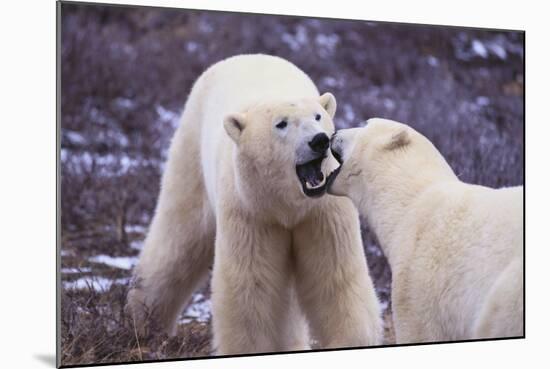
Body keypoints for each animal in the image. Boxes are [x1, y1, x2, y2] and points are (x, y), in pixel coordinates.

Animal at [127, 54, 384, 354]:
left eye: (318, 116)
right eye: (281, 123)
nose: (319, 140)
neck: (286, 205)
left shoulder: (321, 214)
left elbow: (335, 277)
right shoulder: (250, 211)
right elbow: (250, 288)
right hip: (191, 151)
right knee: (178, 238)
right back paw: (143, 322)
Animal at [328, 117, 528, 342]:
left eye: (365, 123)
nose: (333, 134)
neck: (410, 200)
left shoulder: (419, 282)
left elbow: (419, 329)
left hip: (508, 294)